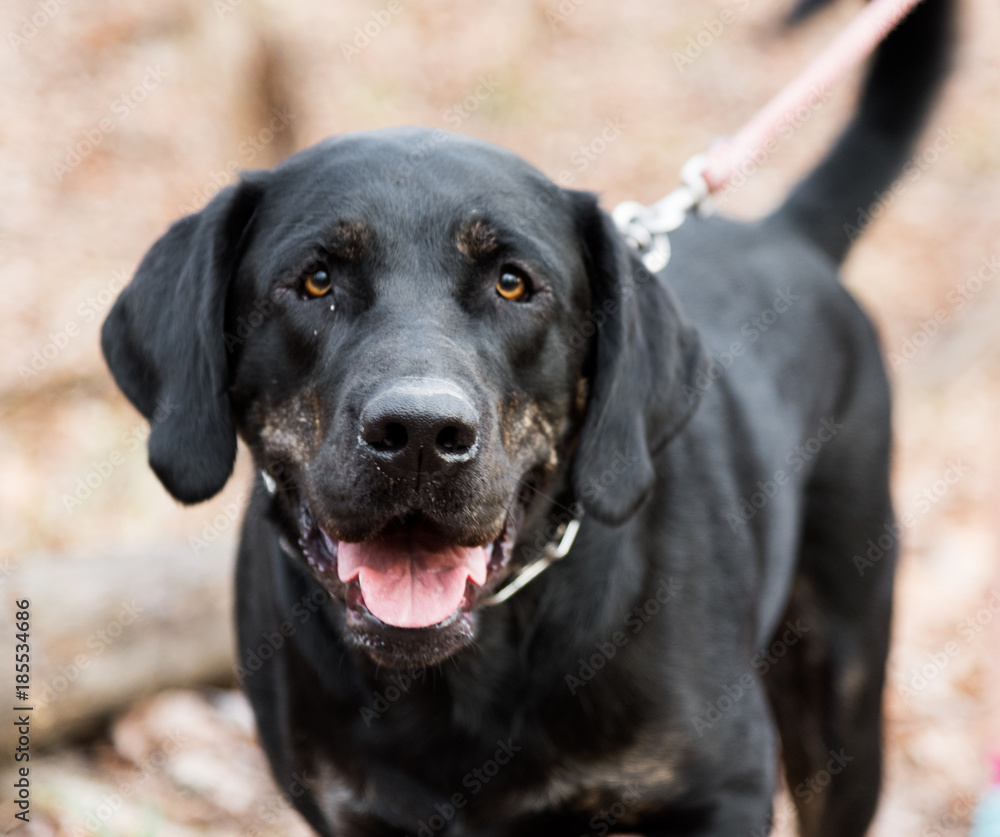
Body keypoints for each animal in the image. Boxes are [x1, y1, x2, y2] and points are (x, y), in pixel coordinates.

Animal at [101, 3, 952, 832]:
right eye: (315, 280)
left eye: (513, 283)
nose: (419, 433)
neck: (458, 677)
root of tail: (784, 232)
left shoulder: (724, 788)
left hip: (842, 692)